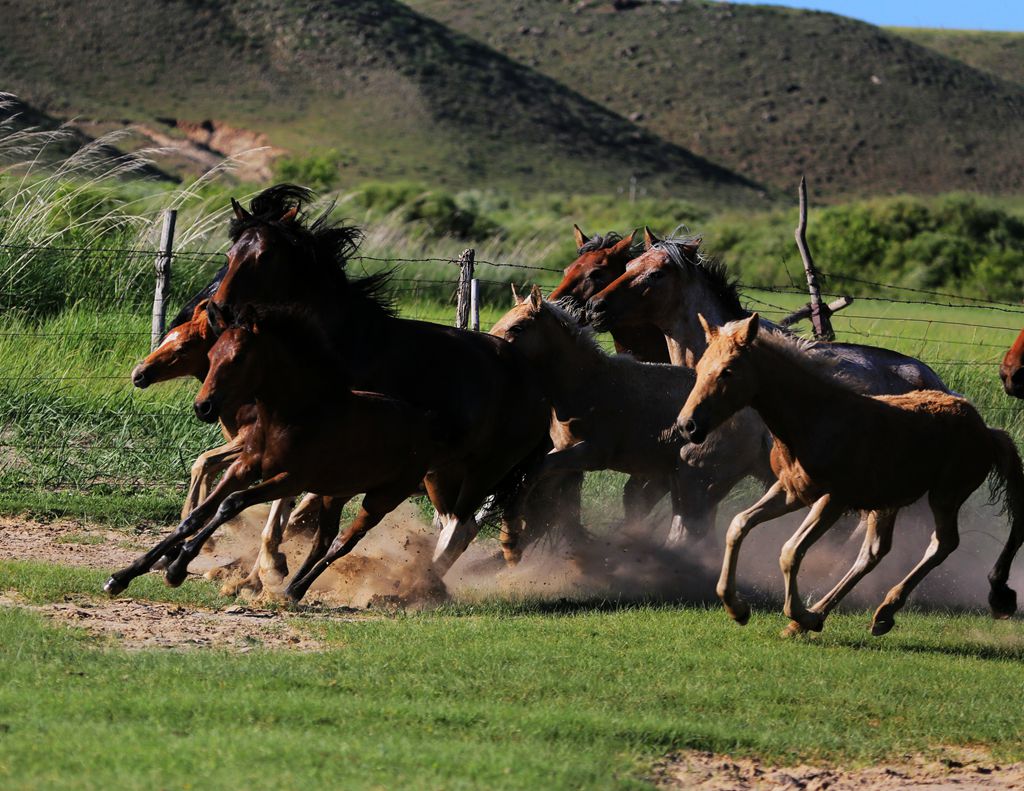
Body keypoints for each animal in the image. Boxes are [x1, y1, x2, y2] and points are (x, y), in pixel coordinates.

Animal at [103, 305, 444, 602]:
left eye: (239, 358)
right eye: (212, 355)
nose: (203, 407)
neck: (290, 415)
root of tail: (427, 421)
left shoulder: (289, 479)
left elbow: (231, 504)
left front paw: (178, 567)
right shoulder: (245, 466)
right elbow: (199, 512)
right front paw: (124, 575)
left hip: (380, 500)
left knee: (343, 542)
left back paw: (291, 589)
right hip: (336, 493)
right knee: (323, 539)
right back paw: (290, 588)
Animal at [206, 185, 552, 573]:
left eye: (264, 255)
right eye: (231, 251)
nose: (218, 308)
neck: (344, 348)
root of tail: (540, 389)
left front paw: (268, 567)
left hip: (483, 471)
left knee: (458, 530)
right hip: (443, 472)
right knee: (457, 527)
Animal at [487, 286, 770, 545]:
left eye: (517, 327)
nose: (490, 348)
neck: (586, 385)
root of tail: (759, 424)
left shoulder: (591, 454)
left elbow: (537, 471)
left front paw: (510, 538)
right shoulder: (565, 453)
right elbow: (540, 483)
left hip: (695, 479)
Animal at [675, 313, 1019, 635]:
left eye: (728, 371)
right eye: (701, 365)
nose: (686, 425)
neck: (815, 418)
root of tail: (987, 430)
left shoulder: (833, 498)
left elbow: (790, 551)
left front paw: (795, 613)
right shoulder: (790, 490)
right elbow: (739, 525)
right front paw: (737, 608)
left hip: (945, 495)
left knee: (942, 543)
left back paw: (873, 612)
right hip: (889, 502)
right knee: (874, 552)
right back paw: (833, 616)